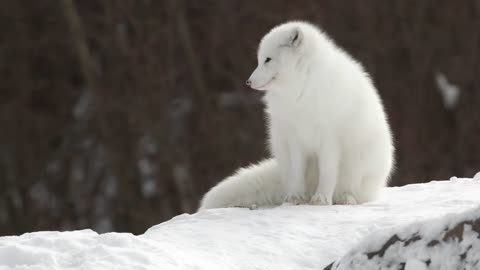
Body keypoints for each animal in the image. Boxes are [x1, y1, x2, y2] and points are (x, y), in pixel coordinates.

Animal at [199, 21, 394, 210]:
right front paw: (295, 198)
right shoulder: (295, 138)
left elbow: (328, 172)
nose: (248, 82)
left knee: (352, 191)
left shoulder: (329, 139)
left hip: (358, 163)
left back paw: (346, 198)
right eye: (259, 60)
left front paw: (322, 199)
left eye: (267, 59)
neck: (300, 89)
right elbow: (297, 172)